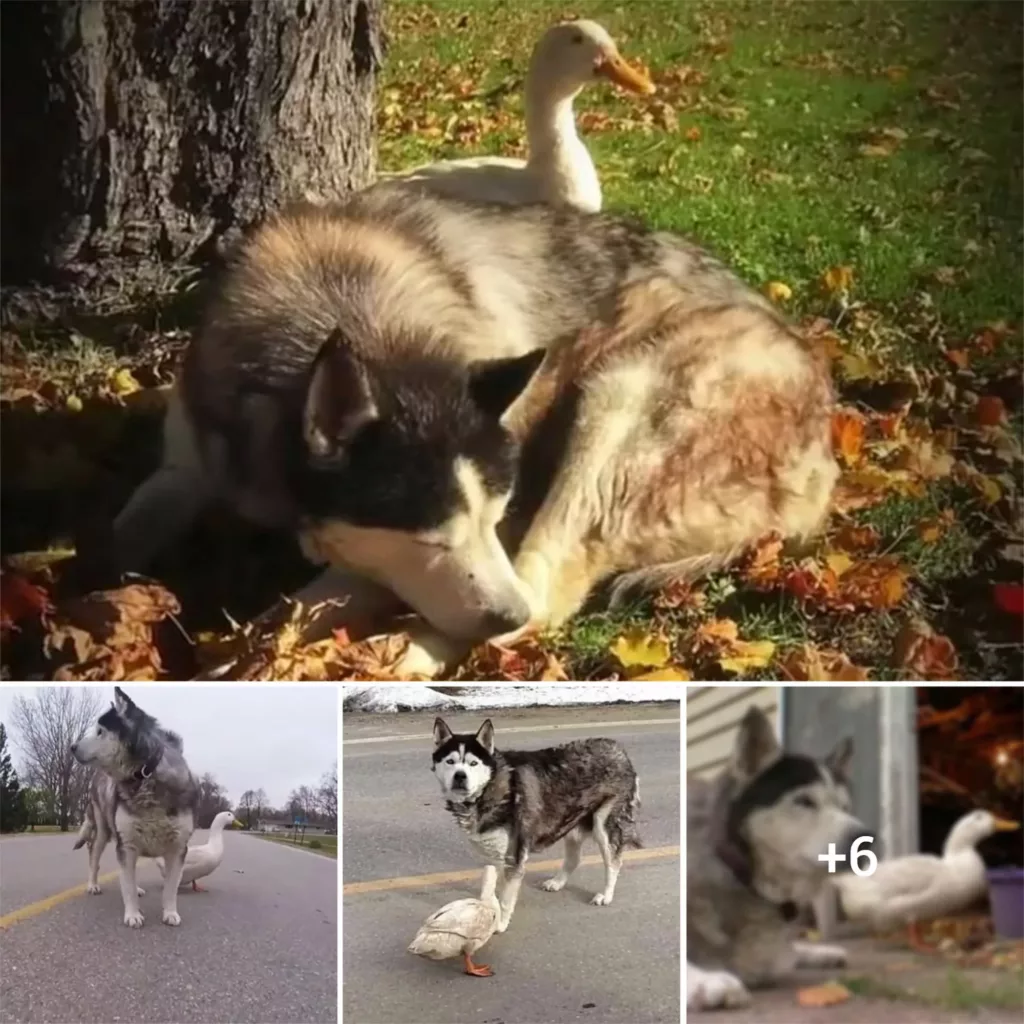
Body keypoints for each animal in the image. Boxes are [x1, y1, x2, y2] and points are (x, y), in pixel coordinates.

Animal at [70, 688, 197, 929]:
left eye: (100, 731)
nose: (71, 747)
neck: (145, 775)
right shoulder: (126, 844)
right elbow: (126, 885)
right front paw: (133, 915)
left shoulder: (178, 849)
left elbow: (170, 888)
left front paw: (170, 913)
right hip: (103, 831)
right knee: (94, 856)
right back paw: (93, 884)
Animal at [110, 186, 831, 671]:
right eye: (431, 537)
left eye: (496, 515)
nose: (501, 614)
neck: (338, 299)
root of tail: (827, 456)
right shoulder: (185, 464)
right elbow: (118, 539)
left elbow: (289, 614)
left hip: (623, 392)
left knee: (543, 591)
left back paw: (403, 655)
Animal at [430, 716, 638, 933]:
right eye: (450, 761)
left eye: (473, 763)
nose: (460, 776)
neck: (489, 789)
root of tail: (617, 749)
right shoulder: (493, 852)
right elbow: (491, 885)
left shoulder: (514, 855)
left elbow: (505, 900)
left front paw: (500, 924)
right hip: (570, 819)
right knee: (574, 858)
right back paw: (557, 882)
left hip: (604, 825)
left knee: (613, 862)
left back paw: (606, 895)